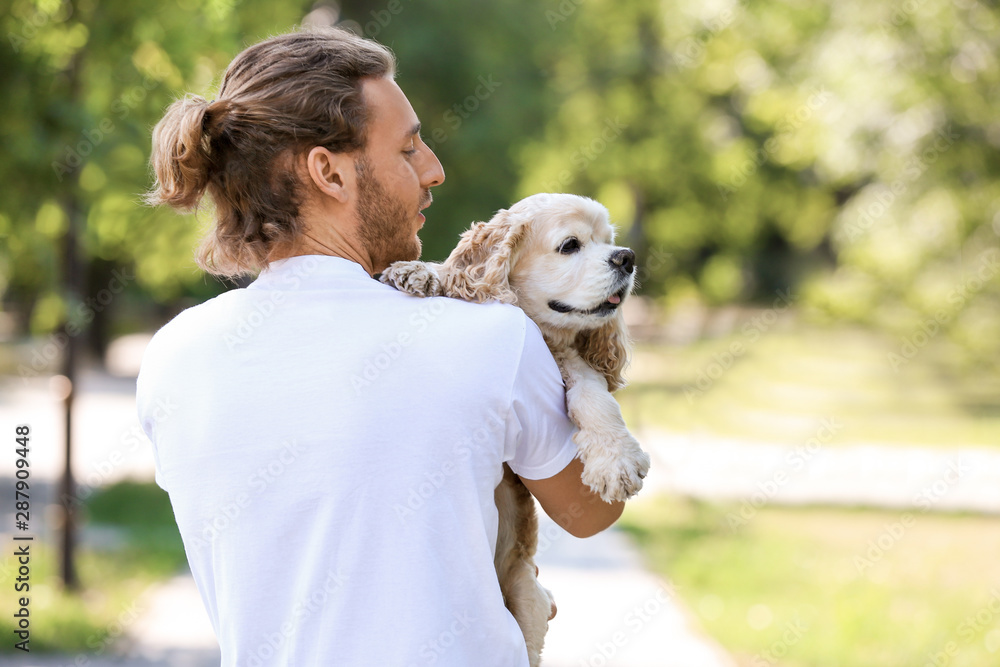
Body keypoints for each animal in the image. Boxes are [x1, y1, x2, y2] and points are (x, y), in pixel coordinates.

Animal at [378, 190, 652, 664]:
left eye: (608, 241)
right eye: (570, 245)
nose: (627, 257)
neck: (545, 334)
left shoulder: (573, 362)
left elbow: (593, 395)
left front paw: (615, 458)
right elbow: (456, 275)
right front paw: (418, 271)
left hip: (529, 594)